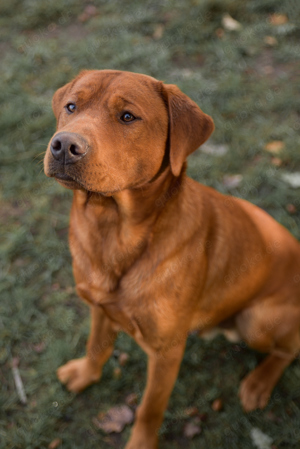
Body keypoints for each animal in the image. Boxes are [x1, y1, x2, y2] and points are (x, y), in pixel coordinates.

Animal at [44, 70, 300, 448]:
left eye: (127, 116)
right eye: (71, 107)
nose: (63, 145)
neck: (110, 229)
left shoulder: (166, 352)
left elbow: (150, 408)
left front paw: (140, 443)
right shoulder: (99, 307)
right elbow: (96, 346)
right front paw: (85, 374)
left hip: (256, 320)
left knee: (288, 349)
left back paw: (258, 383)